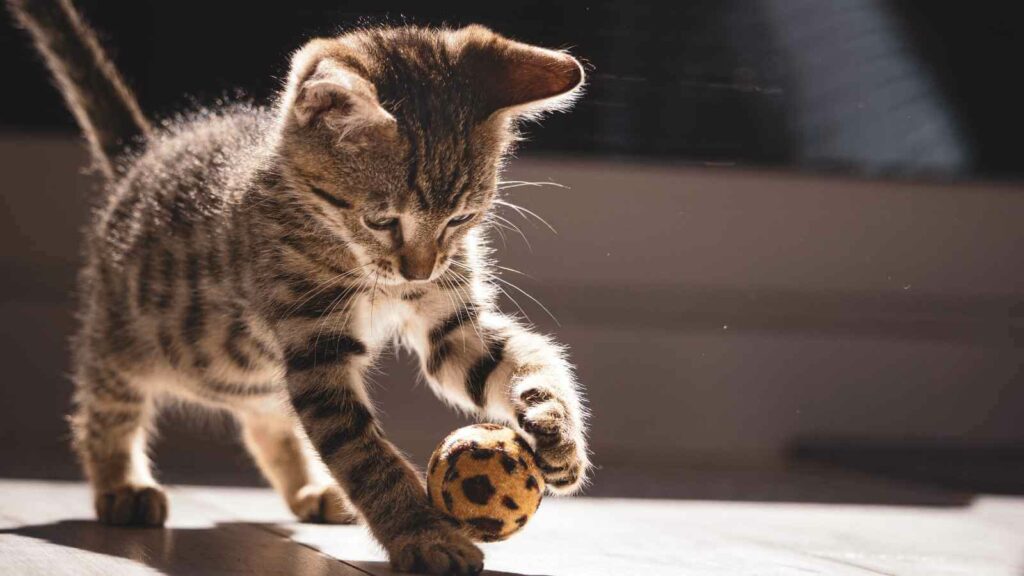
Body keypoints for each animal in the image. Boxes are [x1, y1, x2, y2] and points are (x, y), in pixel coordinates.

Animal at [8, 0, 589, 569]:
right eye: (383, 221)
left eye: (461, 218)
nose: (418, 271)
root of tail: (145, 158)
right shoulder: (315, 347)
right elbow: (362, 453)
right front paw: (423, 535)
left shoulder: (450, 324)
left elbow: (519, 358)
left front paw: (555, 428)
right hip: (127, 337)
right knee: (104, 404)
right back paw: (121, 485)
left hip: (255, 373)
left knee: (267, 420)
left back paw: (311, 490)